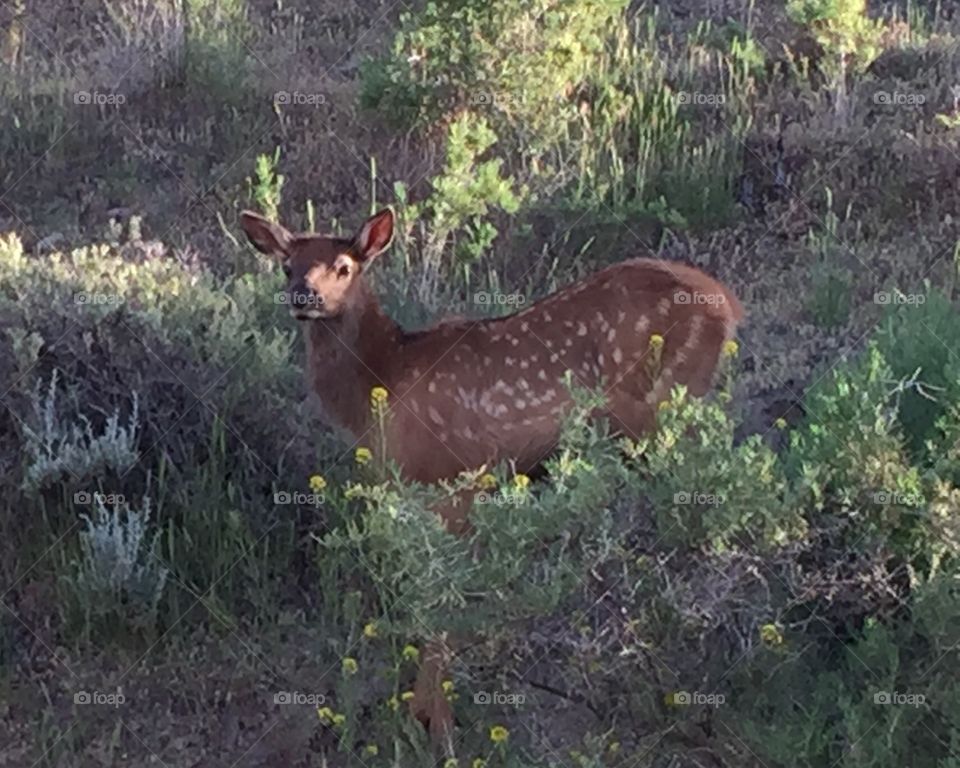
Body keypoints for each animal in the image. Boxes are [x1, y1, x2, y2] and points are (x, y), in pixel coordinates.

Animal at [240, 205, 744, 749]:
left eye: (343, 267)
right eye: (287, 266)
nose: (303, 296)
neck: (383, 382)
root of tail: (726, 302)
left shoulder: (456, 478)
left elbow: (440, 599)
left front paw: (435, 725)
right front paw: (421, 714)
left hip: (668, 405)